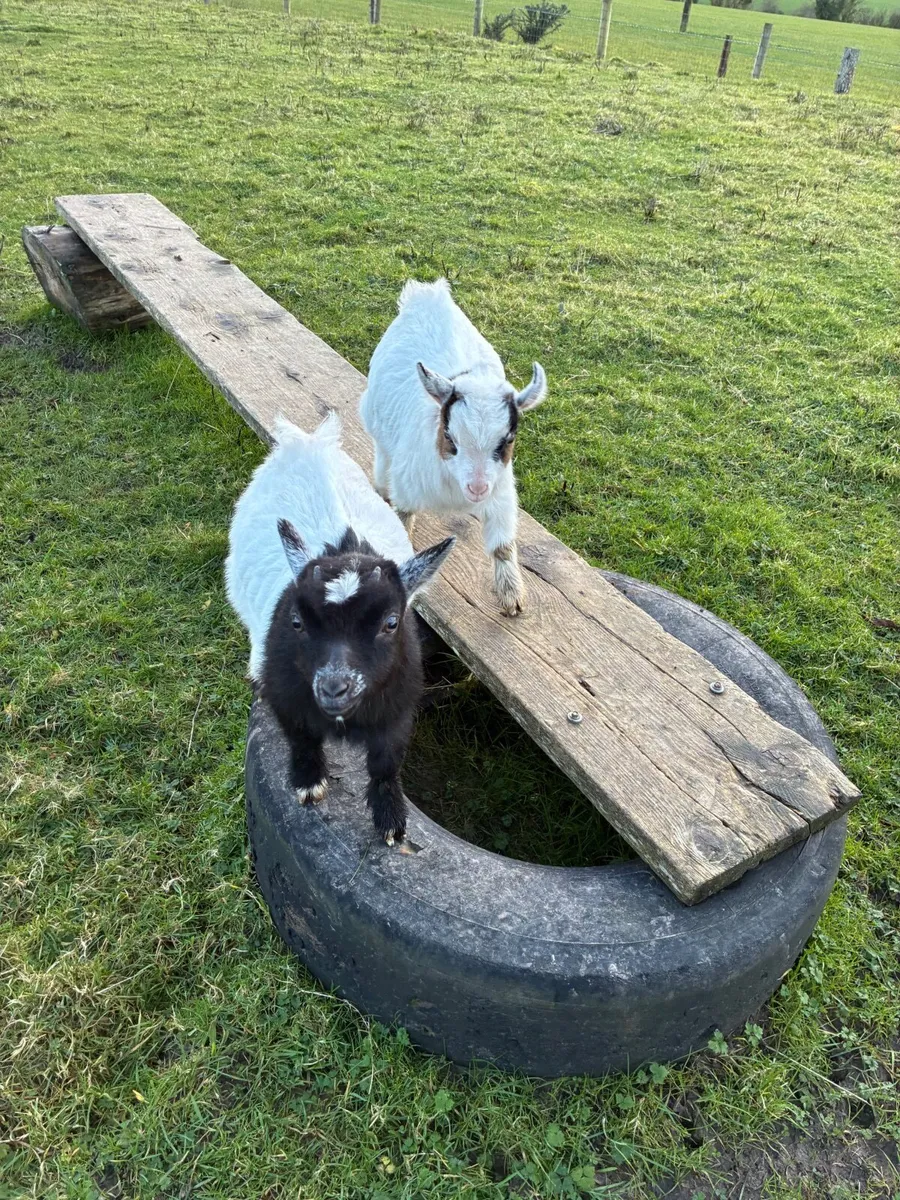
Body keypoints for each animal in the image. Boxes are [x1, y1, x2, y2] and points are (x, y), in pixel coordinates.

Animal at [225, 414, 455, 844]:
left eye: (391, 622)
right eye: (296, 621)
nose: (334, 688)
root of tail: (307, 444)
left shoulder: (398, 708)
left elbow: (386, 761)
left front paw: (391, 820)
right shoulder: (288, 697)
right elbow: (299, 736)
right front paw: (308, 783)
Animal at [359, 278, 547, 616]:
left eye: (507, 439)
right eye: (449, 436)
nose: (477, 488)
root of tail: (427, 294)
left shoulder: (501, 492)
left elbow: (502, 544)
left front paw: (511, 596)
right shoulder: (406, 488)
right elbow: (401, 522)